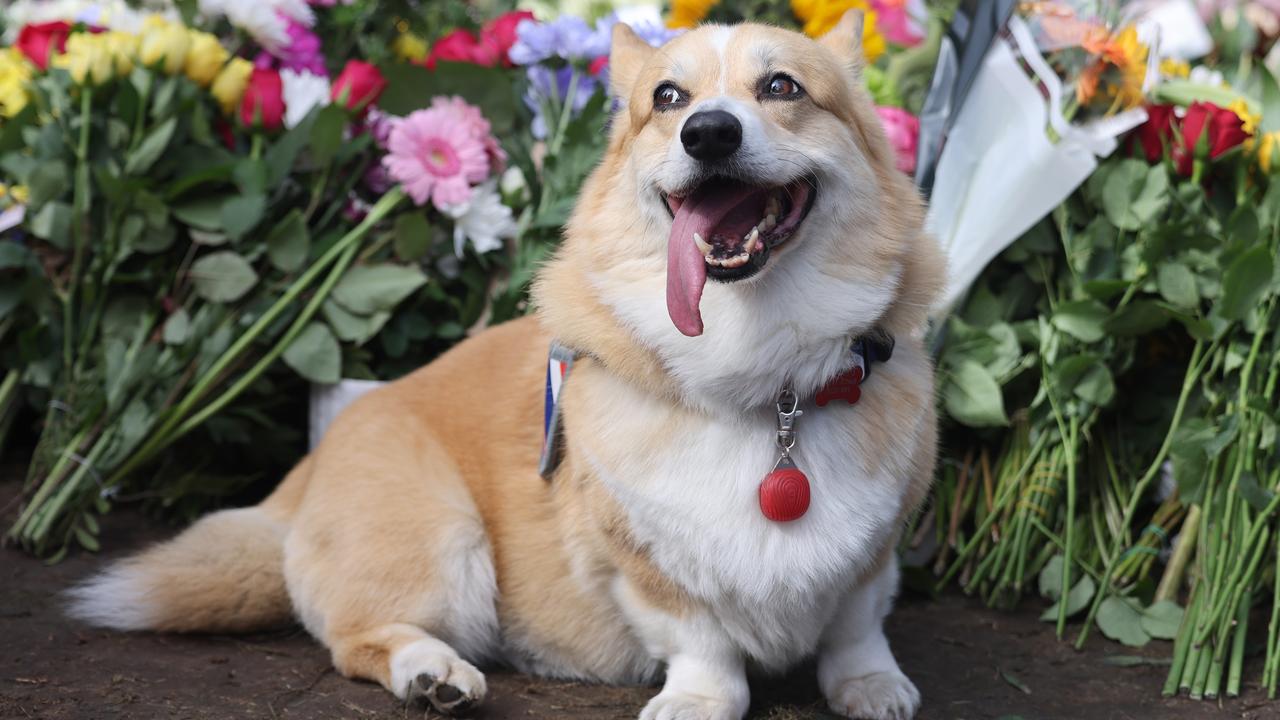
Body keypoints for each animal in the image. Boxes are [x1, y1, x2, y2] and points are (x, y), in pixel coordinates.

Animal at [67, 11, 942, 717]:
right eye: (667, 99)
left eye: (782, 86)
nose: (709, 133)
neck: (764, 379)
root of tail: (306, 472)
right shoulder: (642, 561)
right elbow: (702, 642)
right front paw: (697, 701)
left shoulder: (873, 553)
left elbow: (856, 627)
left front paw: (872, 687)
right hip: (445, 542)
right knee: (358, 639)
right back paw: (433, 673)